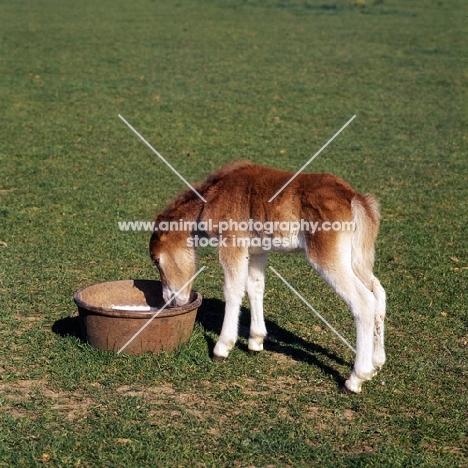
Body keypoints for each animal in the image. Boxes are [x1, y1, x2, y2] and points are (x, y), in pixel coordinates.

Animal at [151, 163, 388, 394]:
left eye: (156, 260)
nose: (168, 300)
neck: (213, 196)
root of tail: (354, 197)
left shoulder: (232, 243)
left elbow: (232, 290)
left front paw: (222, 348)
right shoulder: (257, 250)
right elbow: (255, 287)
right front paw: (255, 342)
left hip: (328, 258)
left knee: (364, 302)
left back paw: (355, 380)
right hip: (357, 260)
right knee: (378, 292)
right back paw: (376, 364)